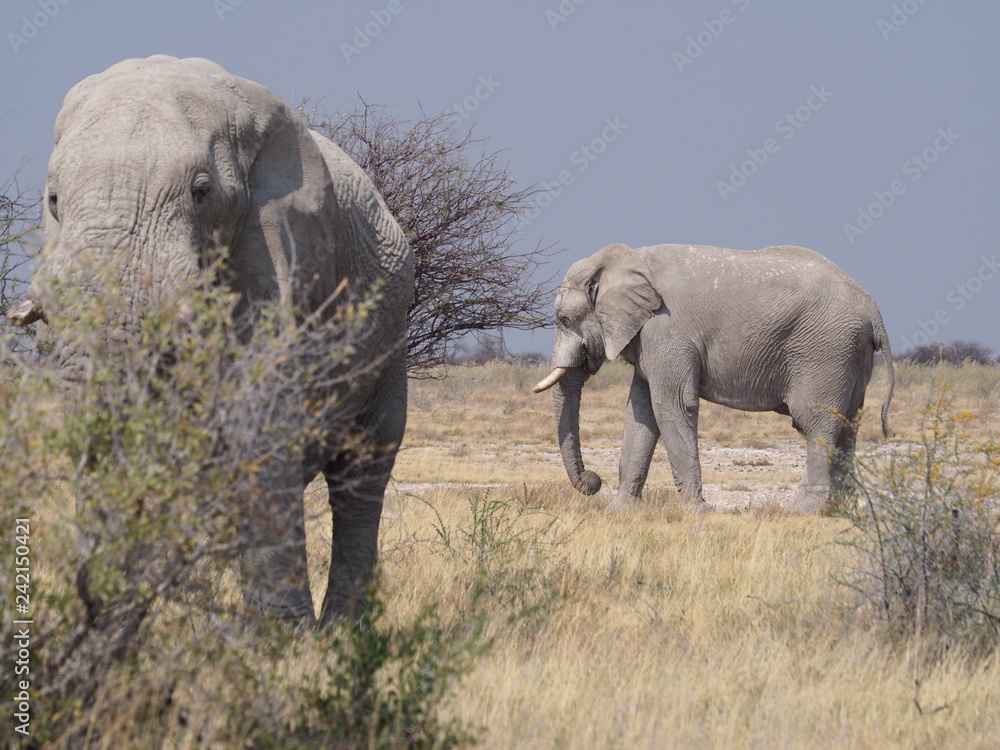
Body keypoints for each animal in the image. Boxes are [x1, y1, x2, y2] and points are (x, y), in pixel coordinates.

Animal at [7, 56, 414, 625]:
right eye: (53, 200)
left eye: (201, 192)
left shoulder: (278, 258)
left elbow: (259, 434)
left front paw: (283, 641)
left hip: (390, 334)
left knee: (362, 473)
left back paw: (343, 631)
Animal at [534, 243, 894, 513]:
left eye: (564, 319)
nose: (593, 481)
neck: (624, 260)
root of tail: (872, 308)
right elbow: (640, 413)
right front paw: (623, 511)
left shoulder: (667, 331)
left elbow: (673, 406)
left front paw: (696, 511)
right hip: (850, 353)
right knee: (848, 423)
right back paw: (839, 510)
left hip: (825, 350)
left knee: (815, 423)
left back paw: (802, 511)